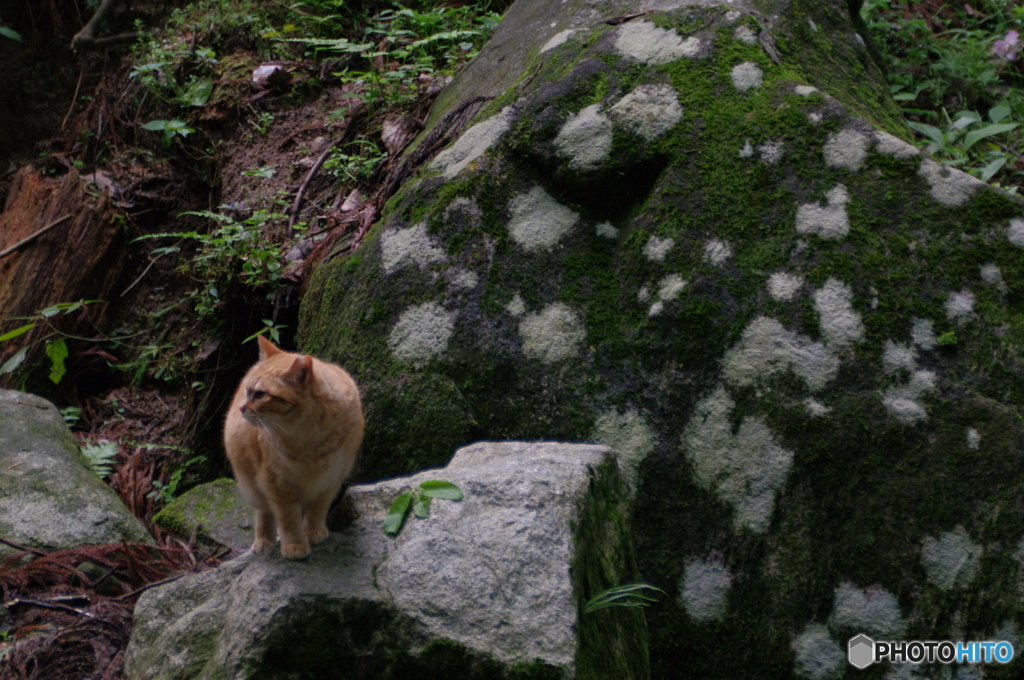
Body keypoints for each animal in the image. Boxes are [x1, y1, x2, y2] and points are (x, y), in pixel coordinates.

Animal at [224, 333, 364, 557]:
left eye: (260, 394)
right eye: (247, 391)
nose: (241, 408)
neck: (309, 438)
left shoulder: (330, 481)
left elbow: (317, 511)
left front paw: (313, 531)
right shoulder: (278, 486)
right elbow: (288, 520)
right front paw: (294, 545)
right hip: (252, 486)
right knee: (264, 513)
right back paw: (264, 541)